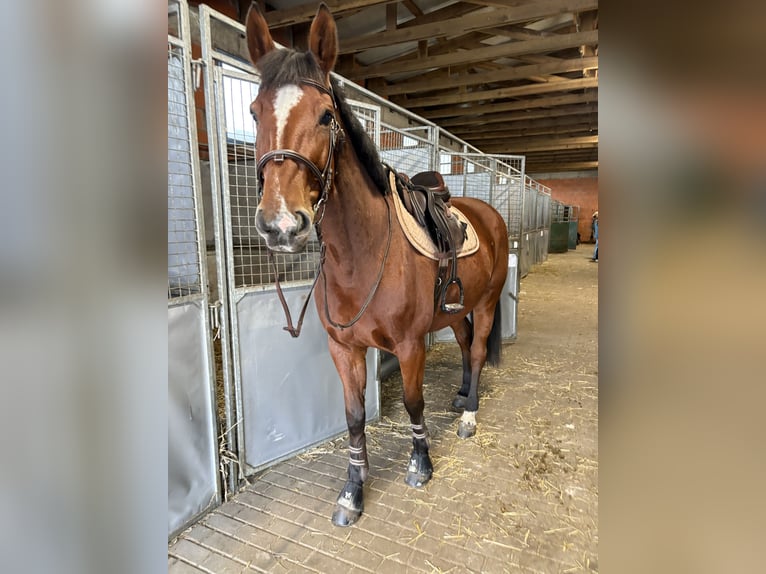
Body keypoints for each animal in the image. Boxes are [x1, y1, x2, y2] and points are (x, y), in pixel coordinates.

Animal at [245, 3, 509, 527]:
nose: (280, 225)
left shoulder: (408, 346)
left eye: (326, 115)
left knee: (476, 349)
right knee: (465, 343)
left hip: (488, 302)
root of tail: (488, 214)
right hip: (457, 309)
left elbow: (412, 402)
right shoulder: (344, 349)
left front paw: (420, 465)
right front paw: (352, 490)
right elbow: (352, 418)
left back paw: (469, 416)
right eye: (254, 111)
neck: (361, 256)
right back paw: (462, 396)